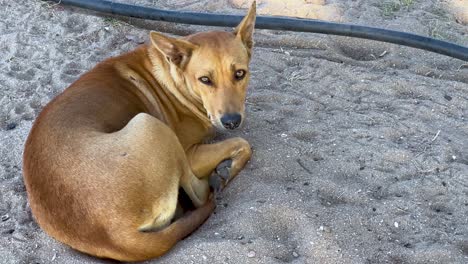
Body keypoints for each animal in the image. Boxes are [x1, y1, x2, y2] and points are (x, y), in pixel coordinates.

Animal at [21, 2, 256, 262]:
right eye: (205, 79)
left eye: (240, 74)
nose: (232, 121)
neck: (173, 76)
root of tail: (115, 235)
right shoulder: (191, 153)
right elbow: (243, 143)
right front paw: (229, 164)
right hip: (151, 125)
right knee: (200, 195)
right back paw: (216, 178)